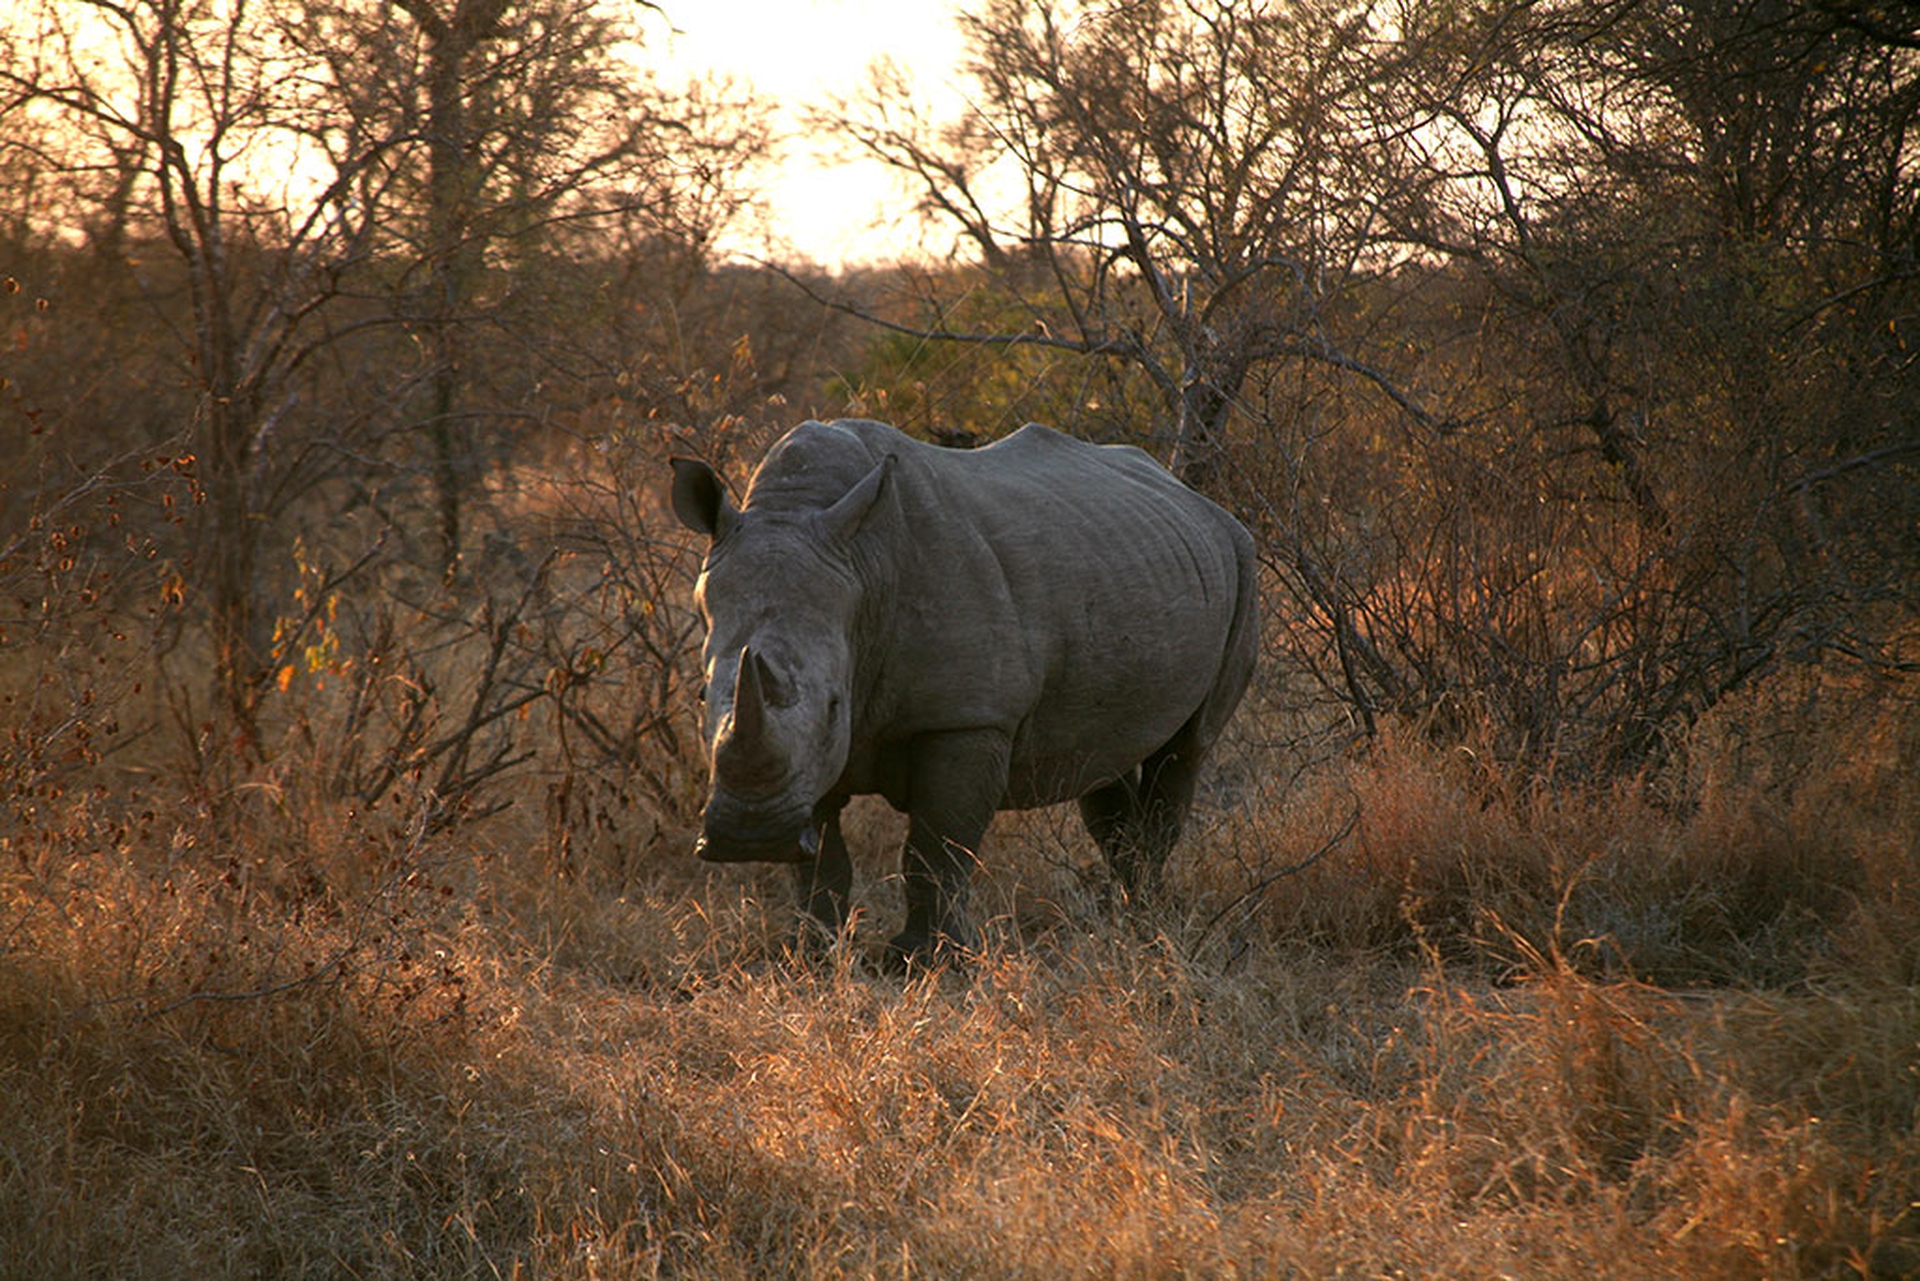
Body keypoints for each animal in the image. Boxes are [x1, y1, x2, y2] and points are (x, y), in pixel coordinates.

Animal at [669, 418, 1257, 960]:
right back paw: (1123, 916)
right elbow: (820, 859)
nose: (750, 836)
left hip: (1241, 562)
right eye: (700, 698)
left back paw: (1148, 926)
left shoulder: (968, 718)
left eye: (837, 707)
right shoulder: (806, 752)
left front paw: (925, 959)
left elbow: (938, 845)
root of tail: (1196, 498)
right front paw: (814, 955)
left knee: (1187, 747)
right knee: (1102, 761)